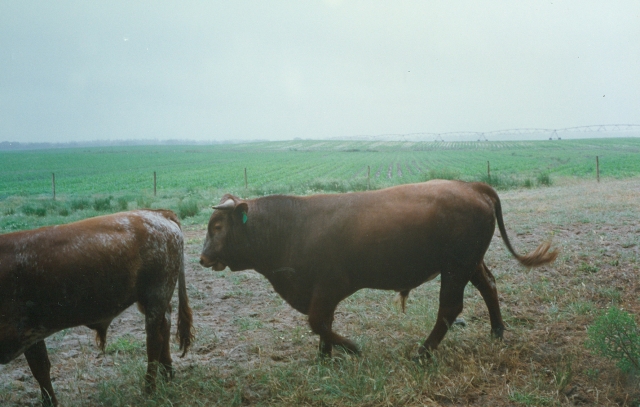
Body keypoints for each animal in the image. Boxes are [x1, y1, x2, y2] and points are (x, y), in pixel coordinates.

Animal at [0, 210, 195, 407]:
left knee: (154, 339)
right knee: (165, 326)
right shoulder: (31, 334)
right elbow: (40, 369)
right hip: (151, 300)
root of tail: (158, 213)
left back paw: (149, 388)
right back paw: (167, 373)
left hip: (157, 294)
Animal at [200, 180, 556, 358]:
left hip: (455, 268)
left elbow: (318, 322)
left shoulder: (328, 286)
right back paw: (496, 331)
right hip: (469, 264)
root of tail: (474, 186)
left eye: (217, 226)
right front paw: (325, 355)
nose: (202, 258)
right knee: (489, 286)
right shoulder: (319, 293)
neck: (292, 227)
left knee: (450, 307)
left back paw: (423, 352)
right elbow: (323, 323)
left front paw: (351, 348)